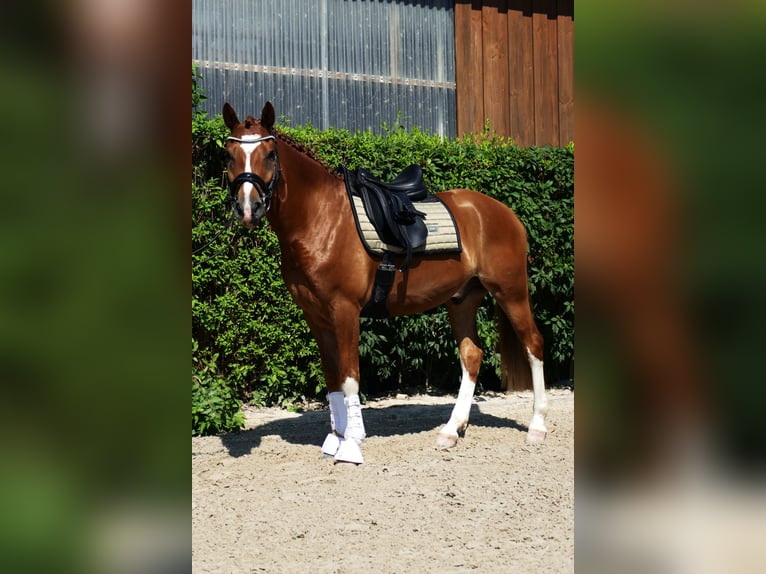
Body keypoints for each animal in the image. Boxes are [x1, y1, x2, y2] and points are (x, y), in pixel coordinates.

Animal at [224, 102, 552, 464]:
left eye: (269, 154)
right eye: (229, 154)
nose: (248, 208)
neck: (322, 218)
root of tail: (505, 213)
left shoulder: (345, 310)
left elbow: (350, 378)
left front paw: (351, 445)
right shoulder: (316, 316)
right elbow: (332, 379)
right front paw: (334, 439)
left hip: (511, 292)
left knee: (533, 345)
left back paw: (537, 427)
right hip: (463, 299)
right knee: (472, 355)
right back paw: (451, 431)